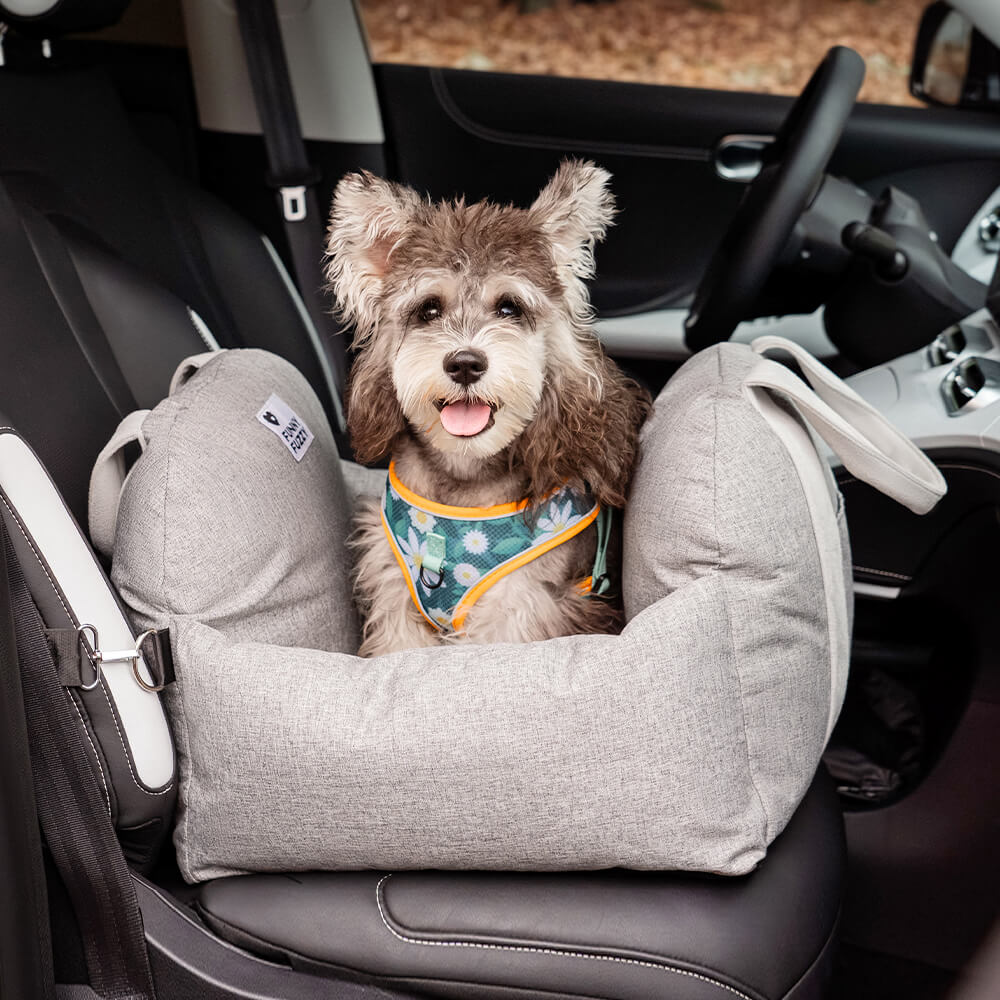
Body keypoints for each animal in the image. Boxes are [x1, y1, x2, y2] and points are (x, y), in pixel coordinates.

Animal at [326, 158, 648, 656]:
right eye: (429, 310)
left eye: (509, 308)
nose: (464, 364)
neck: (464, 473)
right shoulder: (394, 588)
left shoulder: (518, 608)